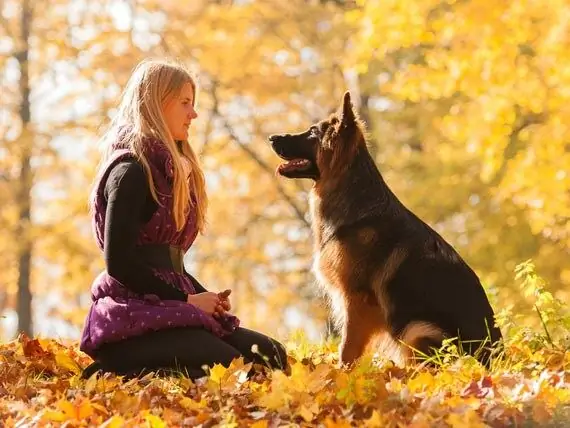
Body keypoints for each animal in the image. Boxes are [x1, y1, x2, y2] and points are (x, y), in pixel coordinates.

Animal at [268, 90, 502, 368]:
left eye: (313, 132)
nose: (272, 137)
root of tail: (492, 358)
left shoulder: (357, 301)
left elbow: (347, 349)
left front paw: (342, 374)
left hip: (416, 330)